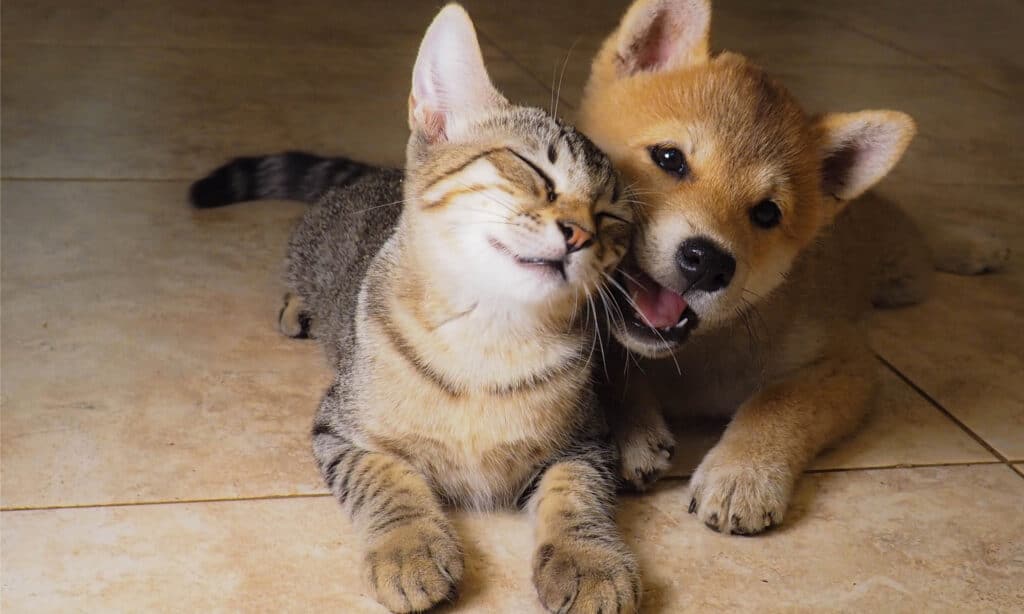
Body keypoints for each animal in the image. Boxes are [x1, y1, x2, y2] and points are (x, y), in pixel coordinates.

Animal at [190, 6, 638, 614]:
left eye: (613, 217)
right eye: (531, 169)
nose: (581, 234)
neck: (487, 339)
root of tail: (371, 174)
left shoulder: (588, 442)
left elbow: (578, 494)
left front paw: (589, 559)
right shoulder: (339, 428)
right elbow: (384, 476)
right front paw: (410, 547)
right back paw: (297, 307)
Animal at [581, 0, 1011, 532]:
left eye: (767, 213)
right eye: (669, 157)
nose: (709, 263)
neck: (693, 356)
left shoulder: (845, 362)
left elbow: (776, 405)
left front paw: (742, 473)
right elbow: (612, 366)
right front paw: (630, 428)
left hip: (904, 277)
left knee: (918, 237)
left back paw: (973, 246)